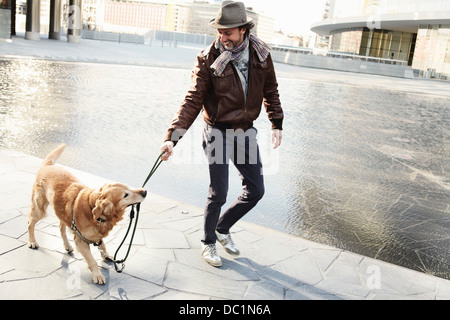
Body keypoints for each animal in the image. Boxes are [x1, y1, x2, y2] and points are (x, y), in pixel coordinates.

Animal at [27, 144, 148, 284]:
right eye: (125, 195)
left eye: (129, 187)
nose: (144, 192)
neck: (93, 210)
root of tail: (48, 165)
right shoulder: (81, 241)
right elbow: (92, 260)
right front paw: (98, 275)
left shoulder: (97, 235)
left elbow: (103, 245)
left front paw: (106, 256)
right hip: (40, 209)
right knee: (30, 223)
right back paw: (32, 242)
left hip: (61, 212)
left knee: (61, 227)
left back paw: (67, 245)